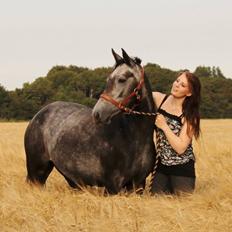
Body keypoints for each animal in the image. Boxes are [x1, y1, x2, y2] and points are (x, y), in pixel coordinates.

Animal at [24, 49, 156, 194]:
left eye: (121, 79)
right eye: (108, 79)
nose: (97, 113)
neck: (133, 138)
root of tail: (38, 116)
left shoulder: (138, 184)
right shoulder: (112, 186)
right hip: (37, 173)